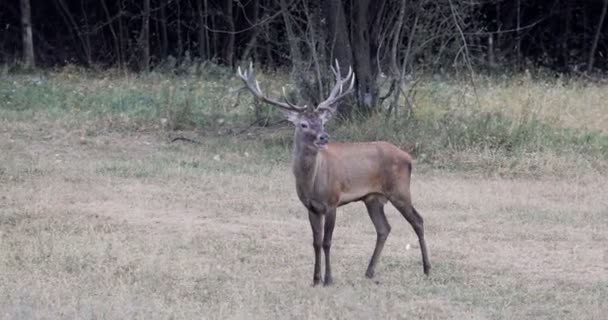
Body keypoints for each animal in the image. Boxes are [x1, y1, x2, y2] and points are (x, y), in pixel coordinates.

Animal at [235, 61, 430, 286]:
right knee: (384, 228)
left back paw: (427, 268)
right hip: (372, 198)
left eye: (322, 122)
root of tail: (408, 158)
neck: (311, 183)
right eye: (304, 124)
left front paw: (328, 279)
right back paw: (369, 271)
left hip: (399, 190)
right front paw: (315, 279)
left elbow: (327, 242)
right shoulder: (311, 207)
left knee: (418, 220)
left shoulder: (332, 202)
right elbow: (315, 242)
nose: (324, 137)